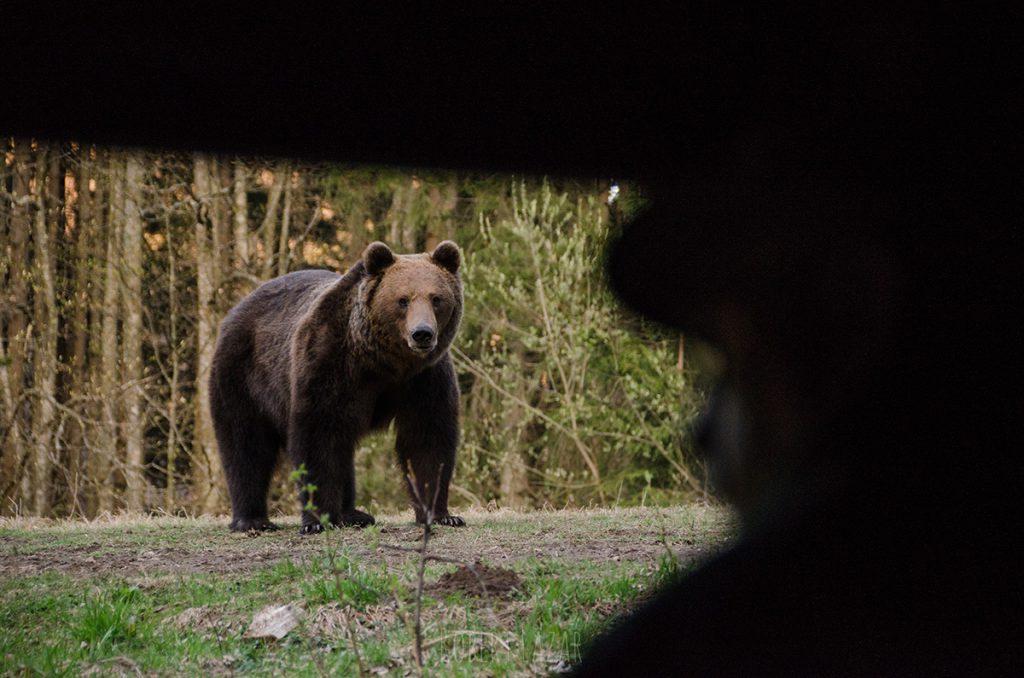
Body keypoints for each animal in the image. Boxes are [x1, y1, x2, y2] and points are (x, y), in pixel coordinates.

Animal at [209, 241, 466, 532]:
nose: (422, 333)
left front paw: (442, 514)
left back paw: (353, 514)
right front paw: (317, 520)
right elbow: (319, 437)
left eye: (436, 298)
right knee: (246, 443)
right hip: (243, 375)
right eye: (402, 299)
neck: (382, 362)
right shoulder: (328, 362)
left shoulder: (423, 379)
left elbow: (426, 438)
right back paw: (252, 519)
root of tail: (237, 307)